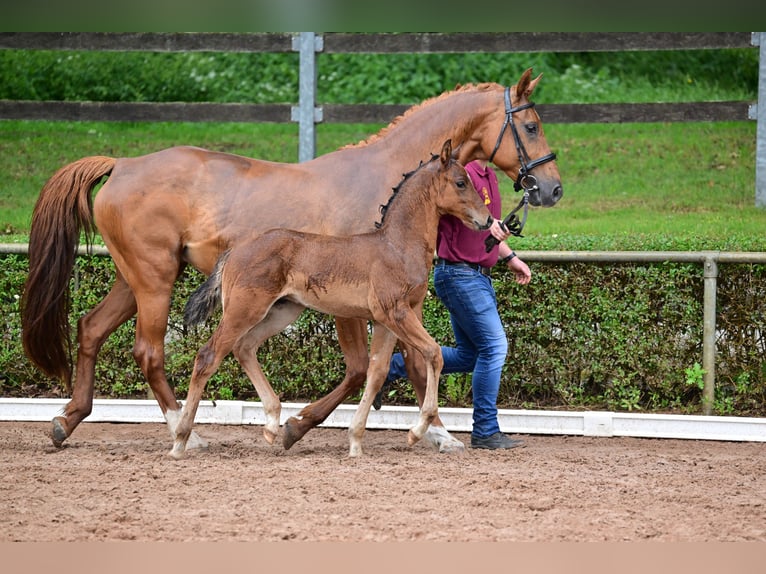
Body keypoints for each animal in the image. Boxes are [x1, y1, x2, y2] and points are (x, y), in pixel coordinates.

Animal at [176, 140, 492, 460]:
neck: (397, 246)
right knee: (209, 356)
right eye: (460, 182)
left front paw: (355, 441)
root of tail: (235, 250)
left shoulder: (388, 321)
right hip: (244, 310)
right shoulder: (396, 313)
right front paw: (415, 431)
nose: (487, 220)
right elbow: (433, 353)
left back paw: (273, 424)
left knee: (244, 347)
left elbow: (377, 371)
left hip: (281, 311)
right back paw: (180, 439)